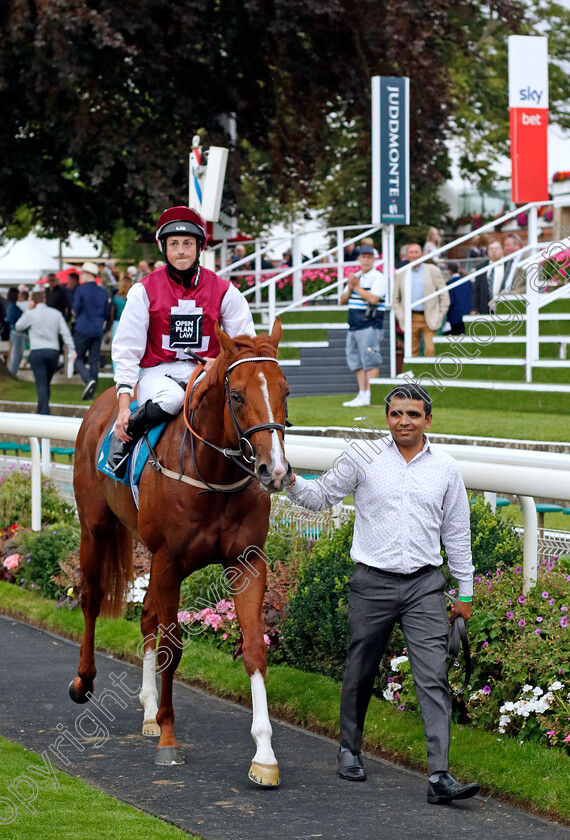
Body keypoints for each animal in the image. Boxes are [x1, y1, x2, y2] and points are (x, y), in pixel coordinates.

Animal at [70, 322, 288, 788]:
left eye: (286, 390)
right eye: (236, 395)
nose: (275, 470)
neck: (211, 473)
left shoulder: (246, 561)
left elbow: (254, 649)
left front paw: (264, 755)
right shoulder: (168, 559)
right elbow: (172, 644)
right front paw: (169, 741)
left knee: (147, 613)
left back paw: (150, 709)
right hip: (96, 530)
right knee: (92, 599)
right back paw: (85, 682)